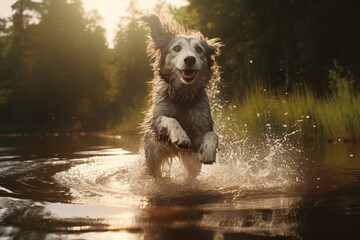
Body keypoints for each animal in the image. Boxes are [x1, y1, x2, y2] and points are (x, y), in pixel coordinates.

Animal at [141, 13, 222, 178]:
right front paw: (181, 136)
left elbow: (212, 134)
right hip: (153, 157)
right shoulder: (156, 123)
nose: (189, 59)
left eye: (199, 49)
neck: (183, 97)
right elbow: (169, 119)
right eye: (177, 48)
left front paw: (208, 152)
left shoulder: (200, 127)